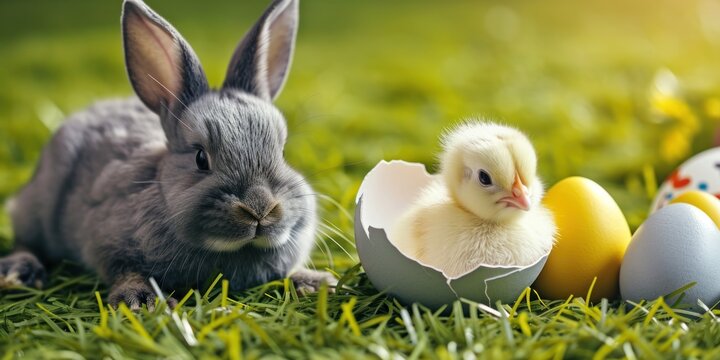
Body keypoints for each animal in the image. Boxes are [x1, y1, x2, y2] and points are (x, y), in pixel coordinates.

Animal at [0, 0, 334, 310]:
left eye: (282, 150)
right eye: (200, 158)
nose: (260, 209)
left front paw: (315, 283)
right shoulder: (105, 240)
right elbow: (125, 271)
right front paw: (142, 302)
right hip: (38, 207)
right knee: (26, 240)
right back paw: (18, 273)